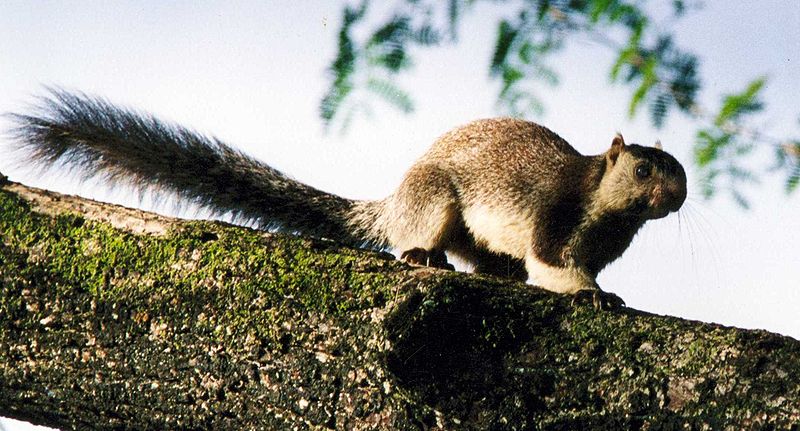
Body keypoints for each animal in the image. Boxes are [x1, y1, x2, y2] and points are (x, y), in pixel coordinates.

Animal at [6, 89, 684, 308]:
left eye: (681, 171)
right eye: (643, 167)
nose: (677, 196)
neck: (608, 215)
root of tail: (392, 200)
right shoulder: (554, 216)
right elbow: (554, 264)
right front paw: (594, 295)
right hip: (434, 202)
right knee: (424, 239)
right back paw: (423, 256)